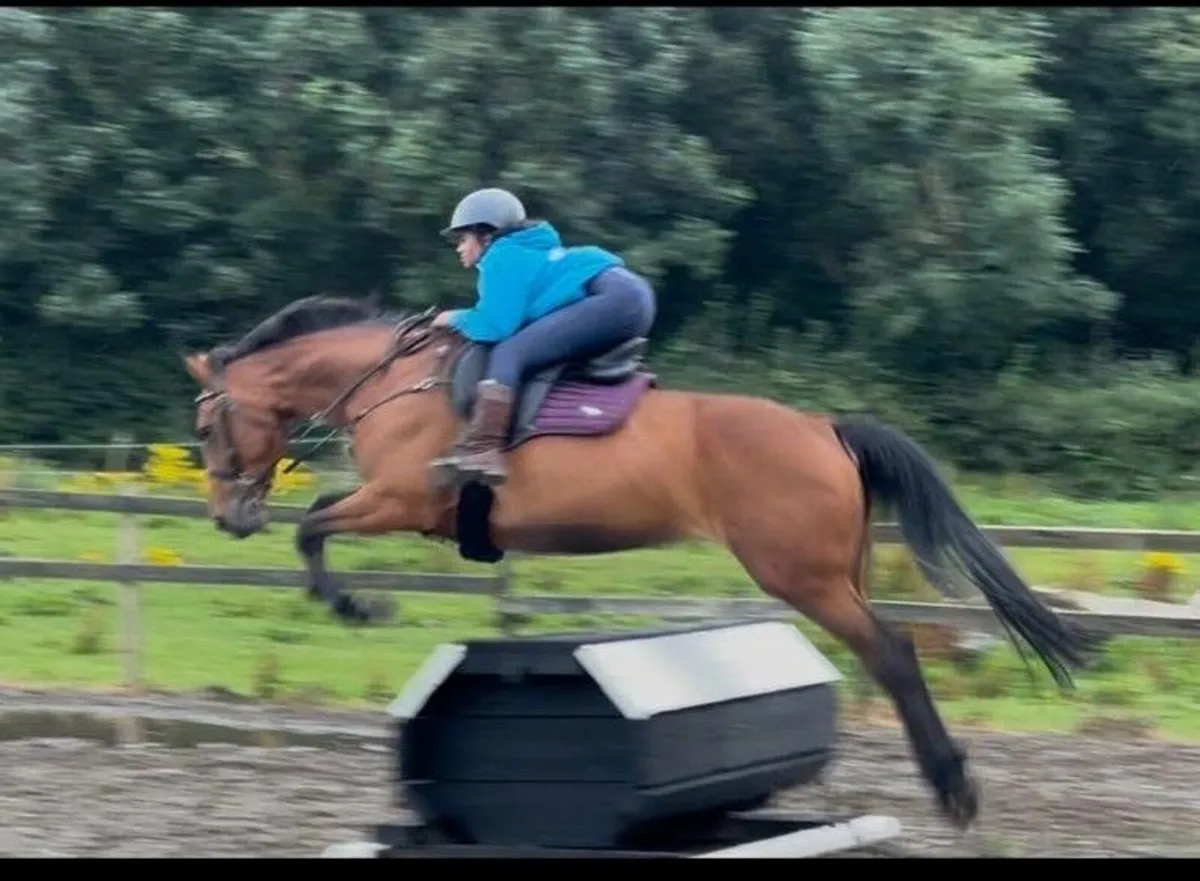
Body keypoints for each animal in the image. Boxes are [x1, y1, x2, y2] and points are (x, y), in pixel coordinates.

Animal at [182, 293, 1094, 831]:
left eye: (205, 426)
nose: (228, 516)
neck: (391, 383)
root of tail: (823, 426)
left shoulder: (403, 499)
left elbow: (312, 529)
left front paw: (357, 606)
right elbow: (316, 527)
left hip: (800, 574)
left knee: (893, 652)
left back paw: (953, 787)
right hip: (840, 569)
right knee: (888, 649)